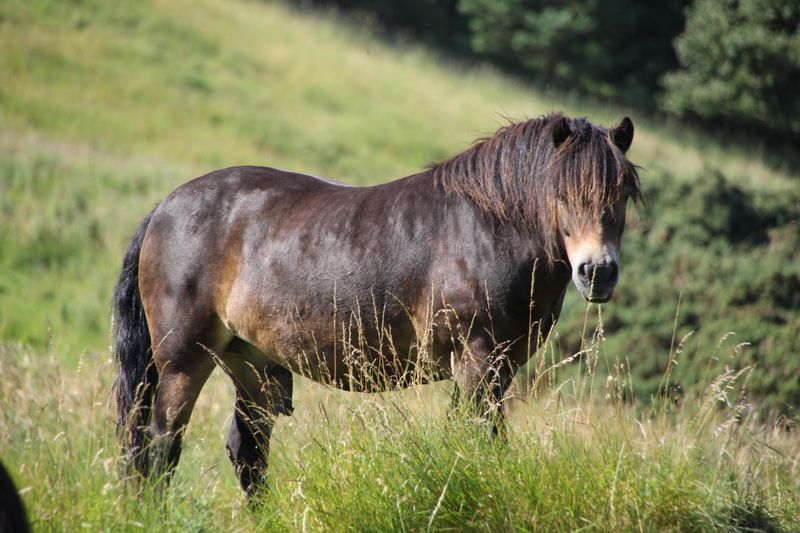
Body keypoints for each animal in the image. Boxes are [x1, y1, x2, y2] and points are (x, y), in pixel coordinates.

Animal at [112, 112, 640, 494]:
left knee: (247, 455)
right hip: (183, 361)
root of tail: (165, 209)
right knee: (158, 448)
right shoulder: (478, 361)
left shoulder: (496, 368)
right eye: (562, 193)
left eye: (622, 195)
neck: (487, 229)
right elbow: (481, 443)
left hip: (250, 364)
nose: (597, 271)